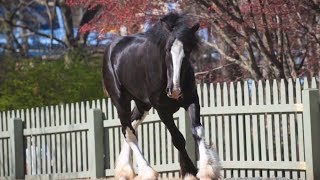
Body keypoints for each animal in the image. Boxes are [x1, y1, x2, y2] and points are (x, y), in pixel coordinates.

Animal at [102, 13, 220, 179]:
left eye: (188, 50)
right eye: (167, 49)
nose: (175, 90)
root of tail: (111, 48)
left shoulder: (192, 100)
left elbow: (197, 131)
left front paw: (207, 170)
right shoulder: (162, 110)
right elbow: (178, 139)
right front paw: (189, 171)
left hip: (142, 104)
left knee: (130, 126)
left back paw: (124, 170)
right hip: (120, 101)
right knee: (129, 132)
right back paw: (146, 171)